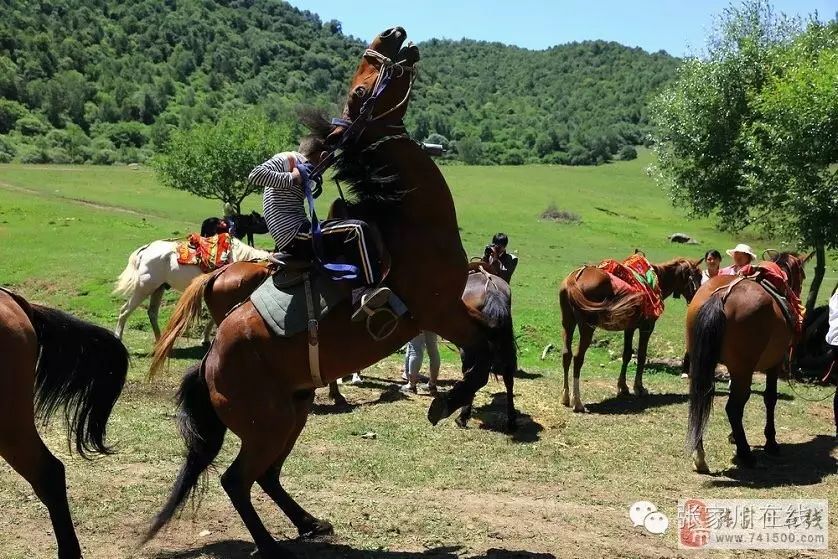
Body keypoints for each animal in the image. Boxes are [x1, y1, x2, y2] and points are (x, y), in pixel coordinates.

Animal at [684, 253, 812, 472]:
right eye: (802, 276)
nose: (798, 292)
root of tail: (721, 296)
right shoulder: (774, 364)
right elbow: (770, 398)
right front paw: (771, 443)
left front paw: (733, 436)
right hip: (742, 370)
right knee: (733, 408)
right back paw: (746, 455)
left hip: (702, 364)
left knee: (701, 398)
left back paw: (699, 456)